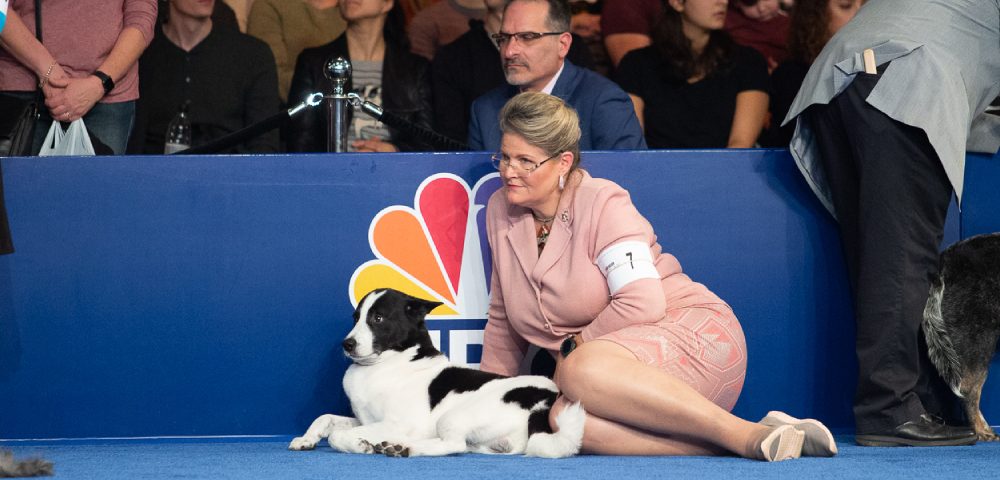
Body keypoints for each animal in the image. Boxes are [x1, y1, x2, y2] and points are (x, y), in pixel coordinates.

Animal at [290, 288, 584, 458]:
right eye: (355, 318)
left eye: (378, 318)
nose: (346, 344)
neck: (390, 360)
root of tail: (545, 403)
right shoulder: (365, 420)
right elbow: (325, 418)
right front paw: (306, 439)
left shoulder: (398, 423)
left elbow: (337, 435)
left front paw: (357, 445)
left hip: (452, 416)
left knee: (454, 445)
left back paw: (406, 448)